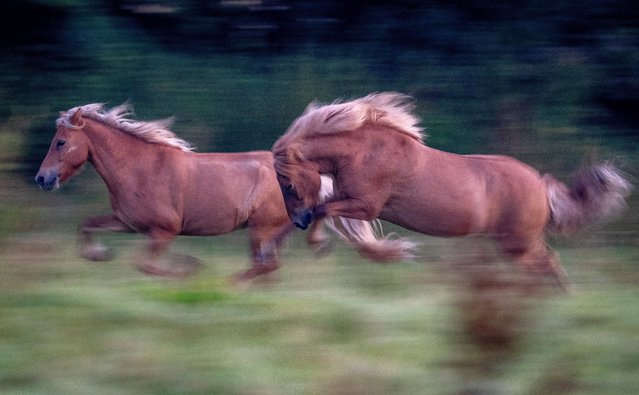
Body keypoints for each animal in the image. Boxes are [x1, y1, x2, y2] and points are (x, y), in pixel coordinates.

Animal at [36, 103, 396, 280]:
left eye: (61, 142)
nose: (42, 179)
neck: (140, 169)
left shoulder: (163, 231)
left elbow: (147, 266)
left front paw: (189, 268)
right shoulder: (127, 222)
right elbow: (87, 225)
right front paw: (98, 254)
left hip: (261, 228)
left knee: (266, 266)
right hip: (274, 231)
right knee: (269, 267)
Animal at [272, 93, 632, 288]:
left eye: (288, 184)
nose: (299, 221)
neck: (365, 151)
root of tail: (542, 187)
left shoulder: (366, 205)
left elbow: (325, 209)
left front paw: (319, 244)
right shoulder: (353, 202)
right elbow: (327, 211)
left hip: (518, 244)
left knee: (550, 265)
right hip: (516, 244)